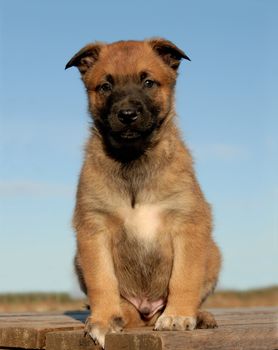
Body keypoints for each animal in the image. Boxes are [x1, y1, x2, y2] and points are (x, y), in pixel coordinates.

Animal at [65, 37, 222, 348]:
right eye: (105, 86)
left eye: (148, 82)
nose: (127, 115)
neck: (133, 160)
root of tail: (147, 310)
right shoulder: (93, 228)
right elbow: (102, 281)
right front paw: (103, 320)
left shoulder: (189, 224)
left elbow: (184, 276)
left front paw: (178, 316)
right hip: (79, 260)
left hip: (213, 253)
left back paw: (199, 315)